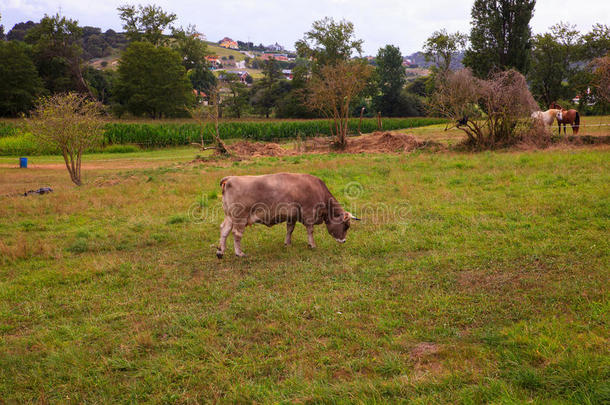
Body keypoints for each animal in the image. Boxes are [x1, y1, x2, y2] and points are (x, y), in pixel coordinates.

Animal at [215, 172, 358, 258]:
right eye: (346, 226)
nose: (344, 241)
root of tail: (230, 178)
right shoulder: (308, 214)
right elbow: (310, 231)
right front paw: (312, 245)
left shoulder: (292, 216)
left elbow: (290, 230)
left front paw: (287, 243)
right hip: (240, 217)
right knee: (236, 234)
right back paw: (239, 253)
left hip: (229, 216)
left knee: (224, 230)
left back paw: (220, 251)